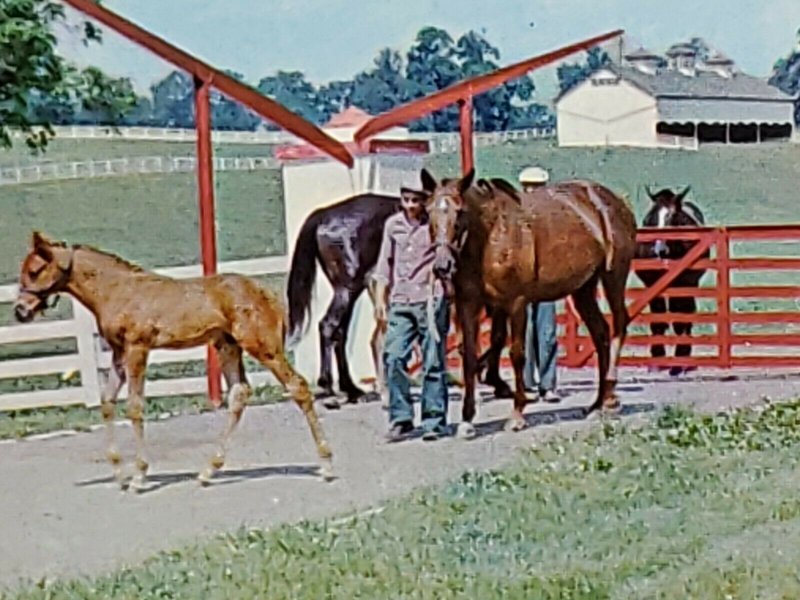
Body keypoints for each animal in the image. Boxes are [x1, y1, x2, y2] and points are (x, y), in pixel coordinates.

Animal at [424, 168, 636, 436]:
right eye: (428, 211)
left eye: (460, 211)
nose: (442, 265)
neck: (490, 237)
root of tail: (616, 202)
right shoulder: (469, 304)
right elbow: (470, 356)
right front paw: (467, 419)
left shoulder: (516, 303)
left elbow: (517, 354)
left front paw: (516, 415)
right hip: (583, 289)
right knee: (601, 333)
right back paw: (598, 403)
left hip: (613, 277)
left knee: (619, 326)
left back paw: (609, 396)